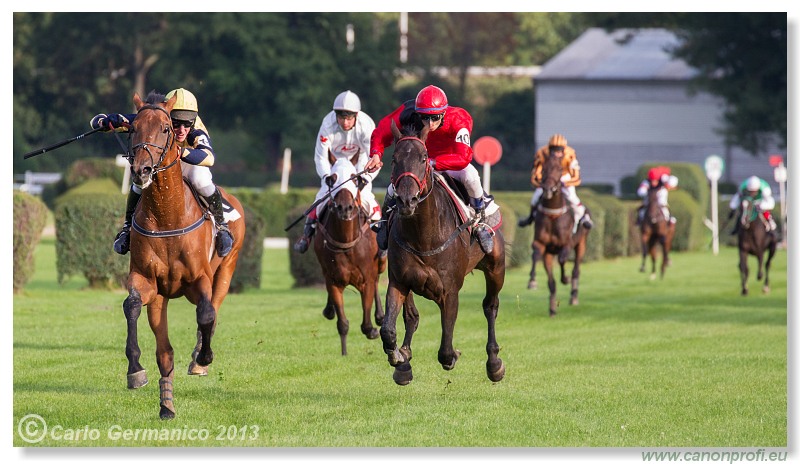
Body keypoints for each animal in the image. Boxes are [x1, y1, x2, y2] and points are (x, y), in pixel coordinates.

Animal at [122, 90, 245, 416]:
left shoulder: (199, 278)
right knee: (164, 350)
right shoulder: (146, 279)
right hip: (161, 298)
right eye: (132, 127)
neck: (167, 213)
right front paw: (135, 369)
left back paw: (199, 358)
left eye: (166, 128)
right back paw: (166, 404)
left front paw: (203, 357)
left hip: (226, 270)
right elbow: (131, 305)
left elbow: (206, 313)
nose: (141, 170)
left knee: (213, 309)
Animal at [314, 157, 386, 354]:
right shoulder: (333, 281)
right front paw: (344, 353)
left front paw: (373, 328)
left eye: (355, 179)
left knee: (378, 279)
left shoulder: (366, 279)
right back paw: (328, 309)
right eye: (332, 180)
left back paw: (380, 316)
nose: (345, 207)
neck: (346, 241)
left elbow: (366, 324)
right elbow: (343, 324)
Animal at [382, 122, 506, 386]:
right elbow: (388, 329)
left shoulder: (449, 291)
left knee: (490, 306)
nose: (407, 200)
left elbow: (446, 351)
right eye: (394, 159)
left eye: (424, 157)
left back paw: (494, 364)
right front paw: (399, 358)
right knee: (411, 317)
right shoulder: (399, 281)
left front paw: (455, 355)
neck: (423, 235)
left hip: (495, 268)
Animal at [528, 149, 592, 318]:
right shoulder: (543, 246)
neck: (553, 215)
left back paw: (573, 296)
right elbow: (537, 257)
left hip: (581, 244)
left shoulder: (566, 244)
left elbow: (563, 260)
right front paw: (533, 282)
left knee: (576, 269)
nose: (548, 189)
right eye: (543, 169)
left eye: (558, 169)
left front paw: (565, 278)